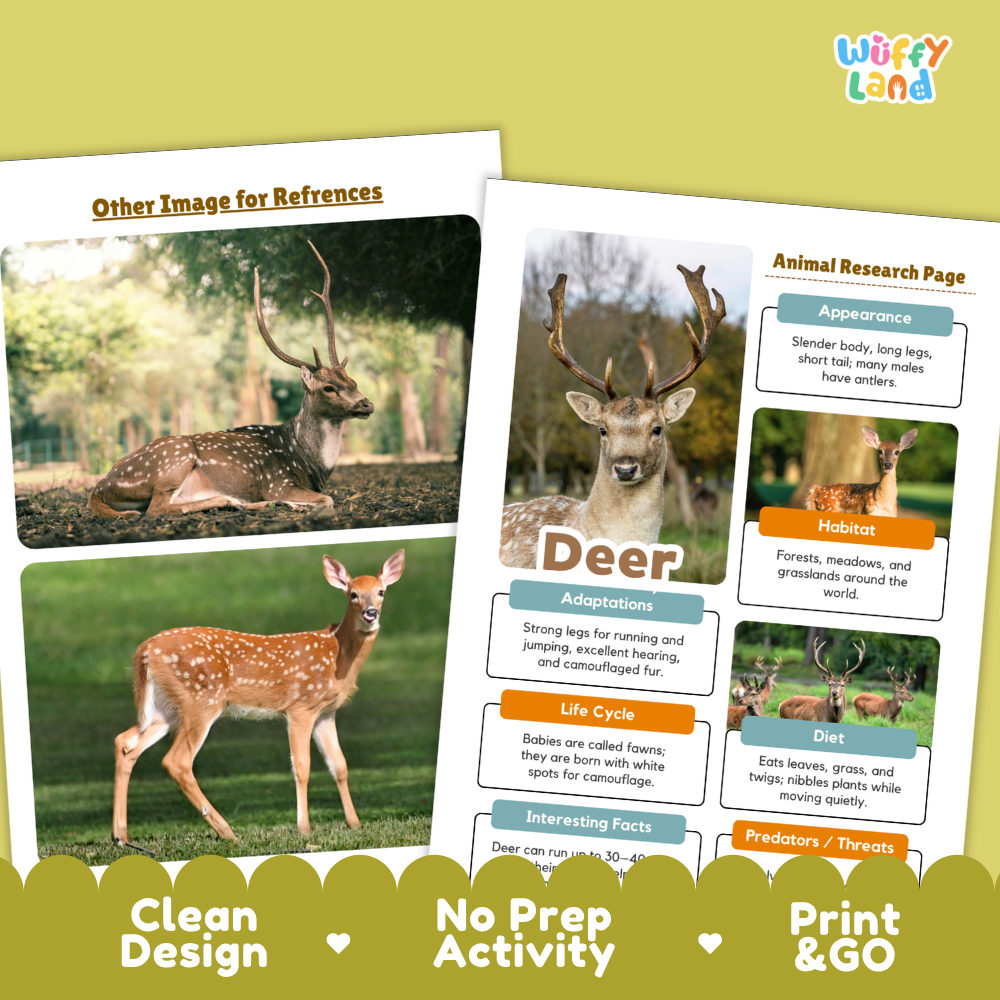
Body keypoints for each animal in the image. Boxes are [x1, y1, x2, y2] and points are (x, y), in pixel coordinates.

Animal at [88, 241, 374, 519]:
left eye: (354, 382)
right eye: (328, 387)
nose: (367, 404)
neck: (306, 463)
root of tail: (99, 487)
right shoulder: (278, 482)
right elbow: (328, 499)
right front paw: (300, 504)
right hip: (175, 456)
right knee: (156, 508)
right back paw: (250, 503)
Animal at [111, 549, 405, 849]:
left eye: (381, 592)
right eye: (353, 594)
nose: (371, 613)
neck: (338, 654)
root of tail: (145, 650)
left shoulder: (326, 712)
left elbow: (339, 765)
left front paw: (354, 824)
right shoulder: (301, 706)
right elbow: (302, 767)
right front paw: (304, 829)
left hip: (167, 707)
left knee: (126, 742)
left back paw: (120, 835)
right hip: (201, 700)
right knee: (177, 761)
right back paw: (227, 832)